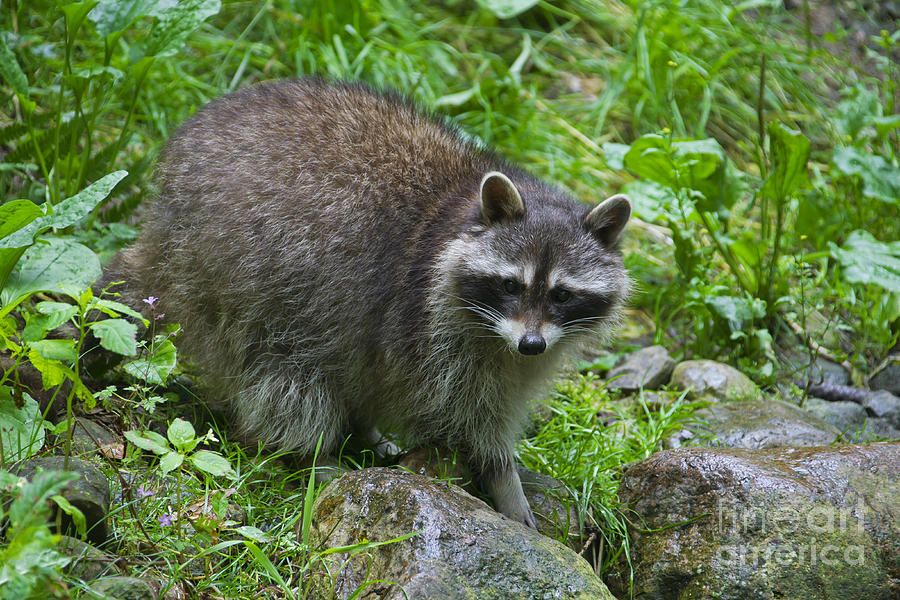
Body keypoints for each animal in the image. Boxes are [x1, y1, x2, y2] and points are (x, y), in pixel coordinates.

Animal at [109, 77, 632, 528]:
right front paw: (500, 472)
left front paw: (506, 473)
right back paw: (314, 454)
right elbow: (466, 412)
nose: (531, 344)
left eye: (562, 294)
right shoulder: (431, 326)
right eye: (511, 286)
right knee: (285, 373)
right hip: (251, 275)